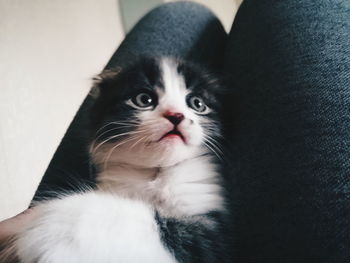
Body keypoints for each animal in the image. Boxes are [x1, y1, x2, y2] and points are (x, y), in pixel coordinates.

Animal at [3, 57, 232, 263]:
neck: (156, 172)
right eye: (144, 99)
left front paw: (49, 226)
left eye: (197, 104)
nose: (175, 115)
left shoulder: (209, 232)